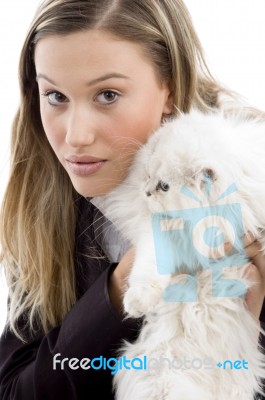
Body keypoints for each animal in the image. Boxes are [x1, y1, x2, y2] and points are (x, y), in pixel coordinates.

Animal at [98, 109, 264, 400]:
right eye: (147, 174)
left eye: (164, 186)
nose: (146, 192)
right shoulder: (156, 235)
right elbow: (148, 269)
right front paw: (137, 301)